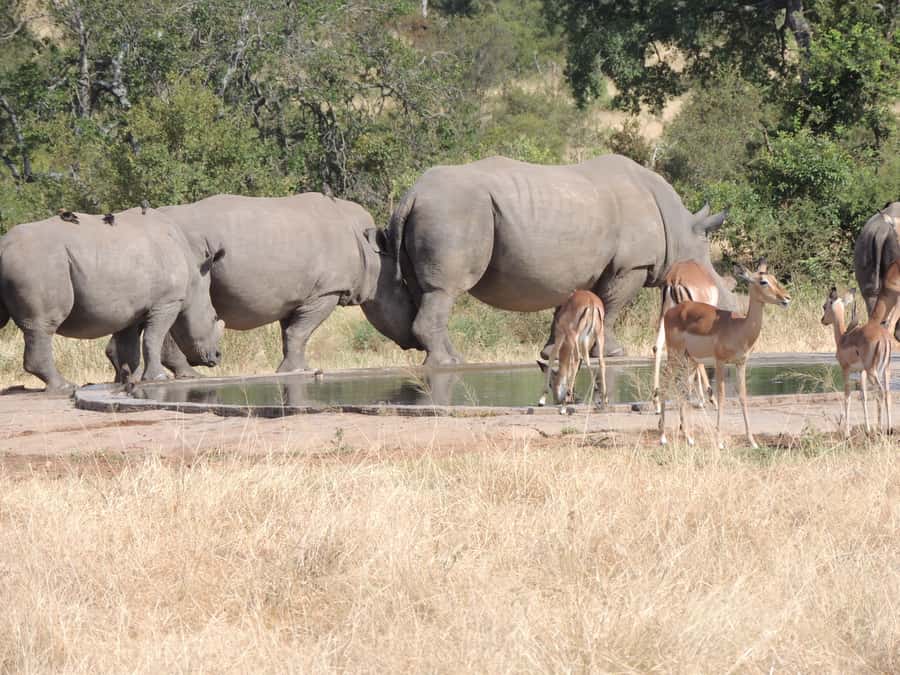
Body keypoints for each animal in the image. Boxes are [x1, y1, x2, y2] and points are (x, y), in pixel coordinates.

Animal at [0, 208, 225, 391]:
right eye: (214, 318)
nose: (217, 356)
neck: (194, 279)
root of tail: (4, 244)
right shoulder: (167, 302)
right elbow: (153, 339)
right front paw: (159, 378)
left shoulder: (132, 311)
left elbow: (129, 347)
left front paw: (131, 380)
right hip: (38, 263)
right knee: (42, 326)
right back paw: (65, 386)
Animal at [107, 193, 420, 379]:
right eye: (406, 297)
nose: (416, 341)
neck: (374, 256)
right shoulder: (326, 291)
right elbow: (300, 332)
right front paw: (292, 371)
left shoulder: (296, 296)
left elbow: (291, 334)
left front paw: (299, 368)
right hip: (187, 253)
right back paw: (190, 377)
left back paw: (125, 377)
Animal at [388, 154, 736, 365]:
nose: (730, 321)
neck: (680, 229)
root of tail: (411, 194)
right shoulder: (630, 266)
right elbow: (611, 307)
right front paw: (614, 352)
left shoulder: (583, 268)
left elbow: (568, 311)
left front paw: (550, 353)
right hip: (452, 212)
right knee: (444, 291)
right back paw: (450, 362)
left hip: (436, 212)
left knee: (423, 291)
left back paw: (448, 358)